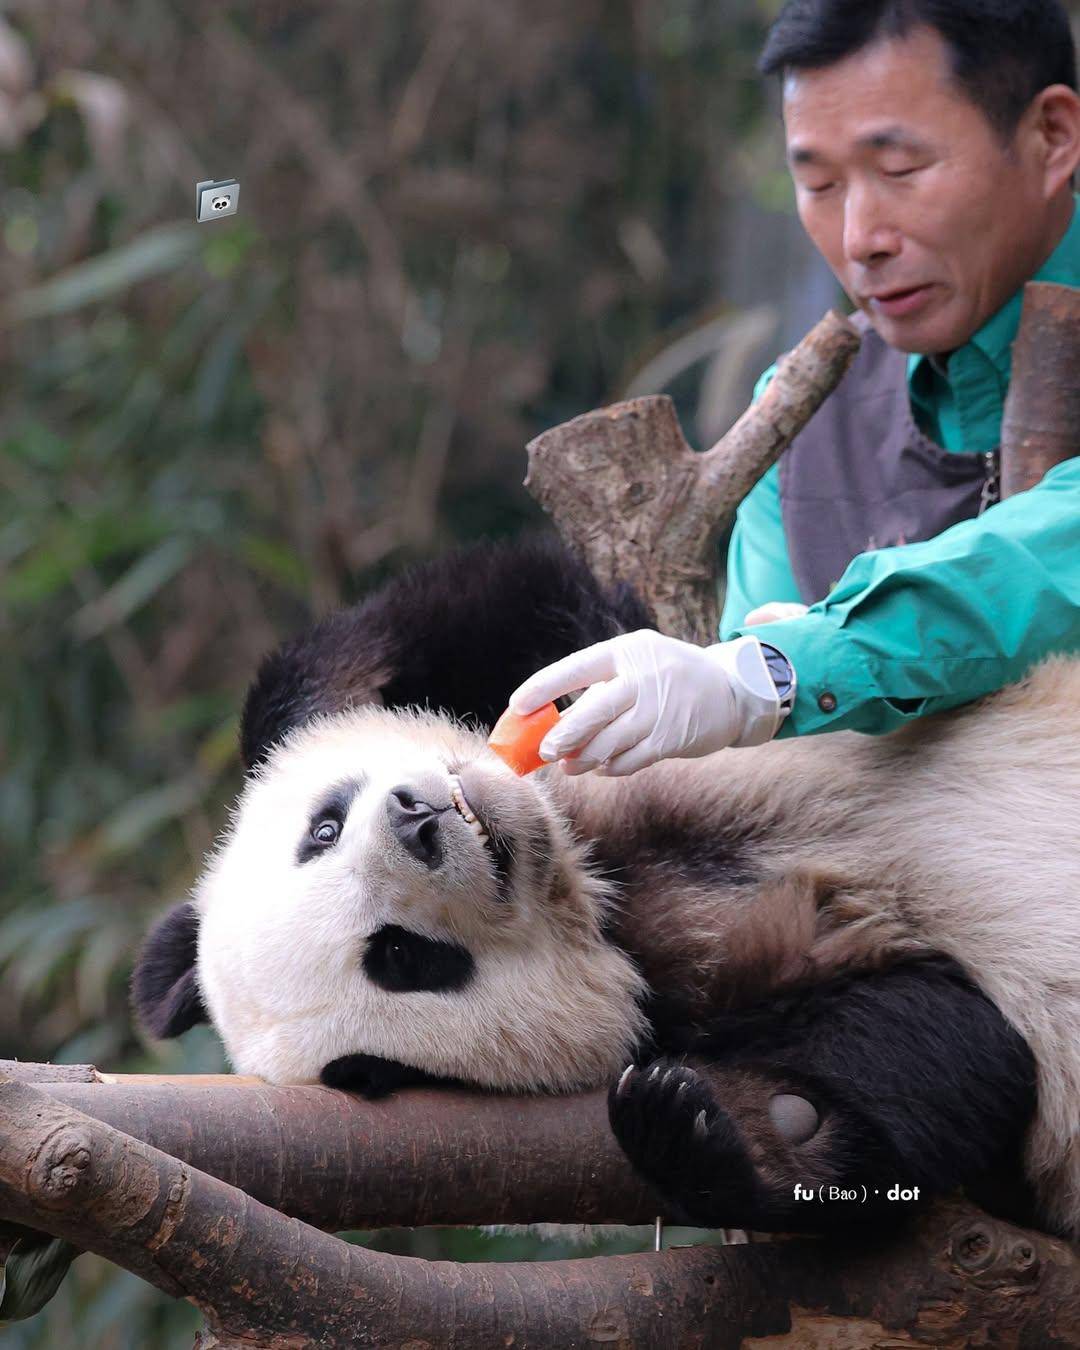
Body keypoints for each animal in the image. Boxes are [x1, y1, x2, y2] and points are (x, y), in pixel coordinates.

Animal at [132, 521, 1080, 1236]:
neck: (591, 875)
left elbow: (506, 607)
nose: (419, 822)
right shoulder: (695, 995)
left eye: (322, 831)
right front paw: (692, 1134)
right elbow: (950, 1060)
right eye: (401, 957)